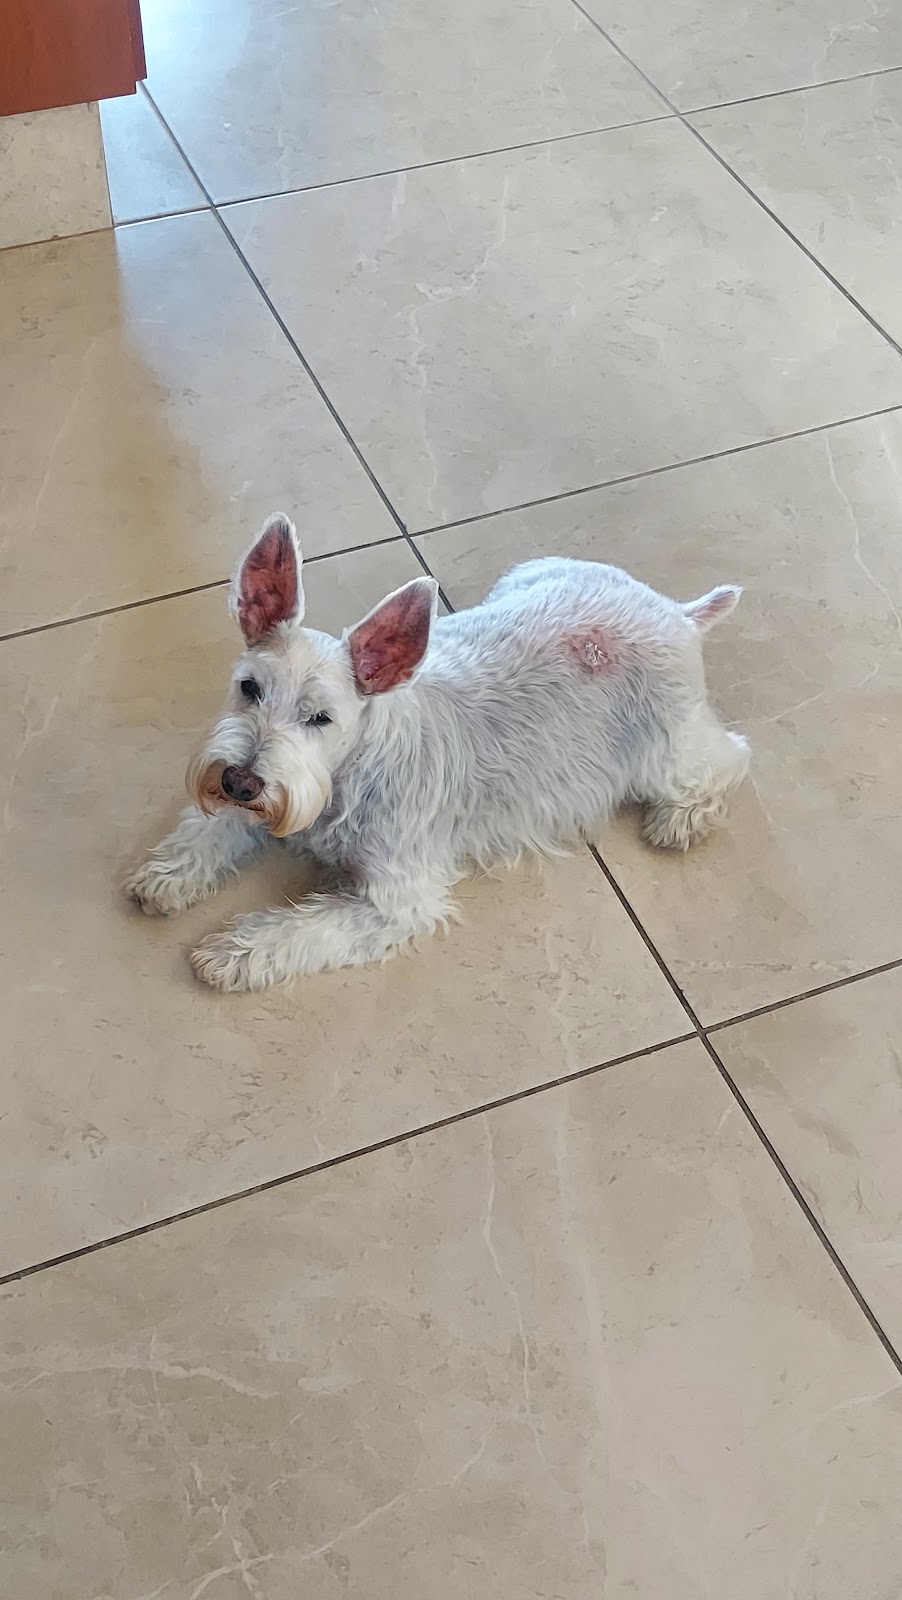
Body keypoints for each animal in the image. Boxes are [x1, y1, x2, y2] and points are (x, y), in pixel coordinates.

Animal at [125, 513, 749, 992]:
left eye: (321, 718)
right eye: (249, 687)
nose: (239, 782)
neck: (354, 772)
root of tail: (676, 612)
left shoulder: (395, 899)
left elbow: (304, 928)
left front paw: (229, 953)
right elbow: (212, 827)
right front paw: (166, 875)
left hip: (666, 751)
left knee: (729, 756)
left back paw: (680, 821)